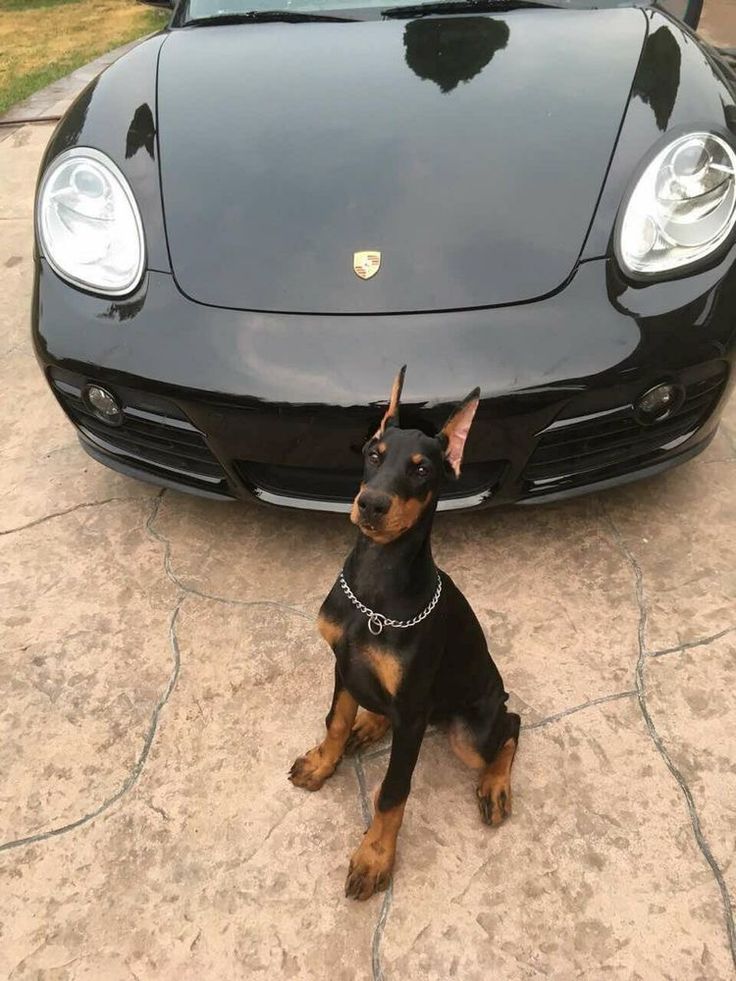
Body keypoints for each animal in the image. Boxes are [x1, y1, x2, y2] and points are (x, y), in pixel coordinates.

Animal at [288, 370, 516, 904]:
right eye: (374, 453)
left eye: (421, 470)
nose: (370, 505)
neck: (376, 586)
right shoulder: (343, 663)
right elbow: (334, 720)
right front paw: (322, 762)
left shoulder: (413, 709)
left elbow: (392, 792)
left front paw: (374, 857)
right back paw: (370, 724)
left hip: (471, 729)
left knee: (511, 727)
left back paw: (495, 784)